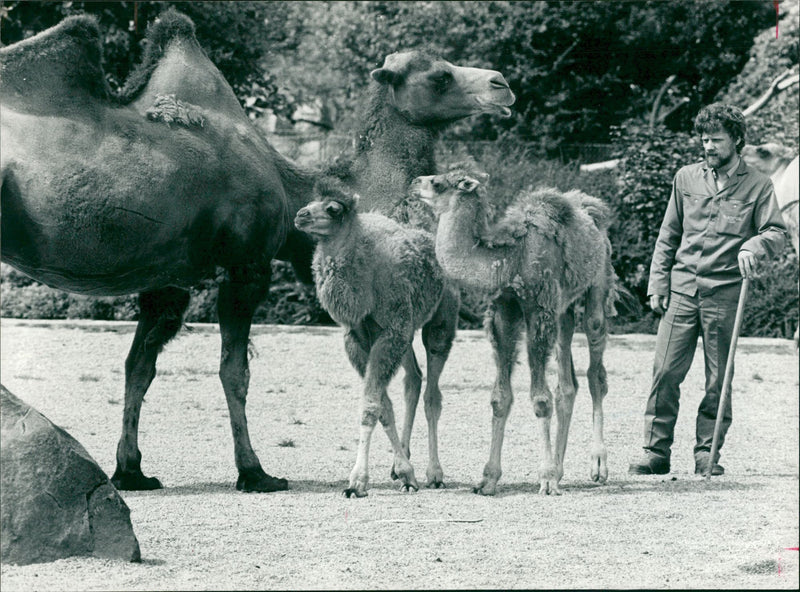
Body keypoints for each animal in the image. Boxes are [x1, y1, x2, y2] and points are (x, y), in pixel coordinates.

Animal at [294, 178, 446, 498]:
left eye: (333, 208)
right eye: (312, 200)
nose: (301, 215)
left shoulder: (390, 332)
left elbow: (371, 405)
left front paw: (357, 482)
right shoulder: (358, 338)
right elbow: (383, 406)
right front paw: (404, 472)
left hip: (440, 320)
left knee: (433, 393)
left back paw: (436, 473)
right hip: (406, 333)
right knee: (414, 379)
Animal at [416, 170, 616, 494]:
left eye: (437, 182)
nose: (415, 182)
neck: (511, 259)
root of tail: (594, 212)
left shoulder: (538, 308)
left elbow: (540, 399)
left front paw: (545, 478)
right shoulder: (504, 308)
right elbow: (500, 398)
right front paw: (488, 479)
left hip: (598, 284)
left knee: (596, 371)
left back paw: (597, 466)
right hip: (563, 309)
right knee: (567, 383)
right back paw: (560, 469)